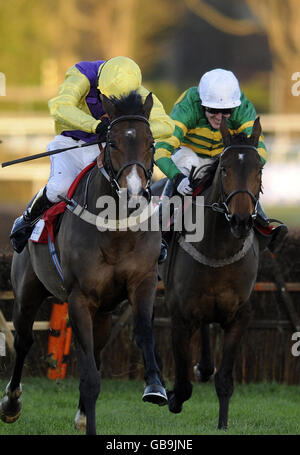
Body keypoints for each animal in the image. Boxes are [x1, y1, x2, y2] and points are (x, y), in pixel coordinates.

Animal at [0, 91, 168, 436]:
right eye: (113, 142)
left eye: (152, 143)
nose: (133, 194)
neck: (117, 230)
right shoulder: (79, 297)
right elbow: (89, 374)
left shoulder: (142, 283)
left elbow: (143, 332)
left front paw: (155, 387)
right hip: (27, 292)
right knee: (23, 341)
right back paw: (11, 404)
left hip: (103, 311)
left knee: (96, 348)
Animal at [159, 116, 262, 430]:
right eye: (225, 168)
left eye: (259, 169)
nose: (241, 220)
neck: (218, 251)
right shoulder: (179, 317)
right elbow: (183, 384)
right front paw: (172, 397)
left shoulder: (239, 316)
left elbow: (225, 380)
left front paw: (223, 424)